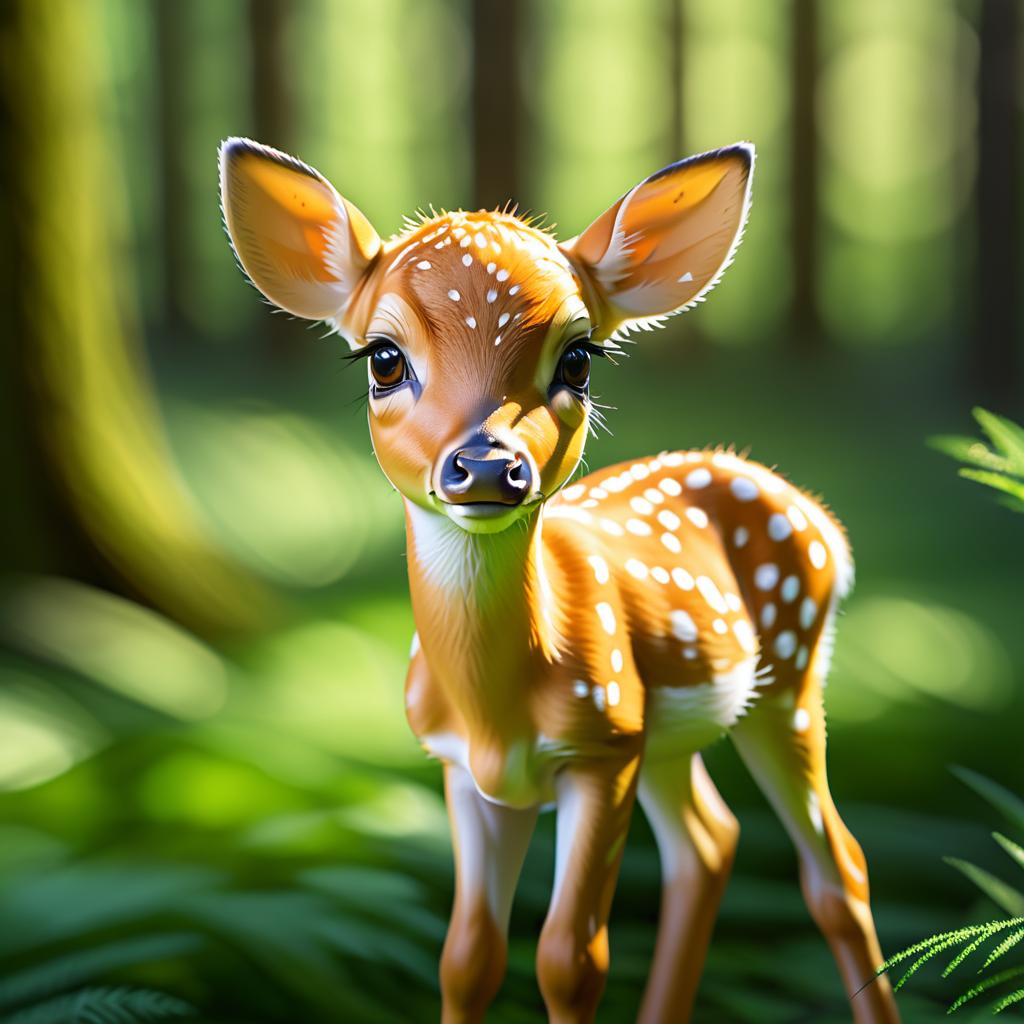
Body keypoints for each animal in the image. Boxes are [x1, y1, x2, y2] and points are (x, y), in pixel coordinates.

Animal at [218, 138, 897, 1024]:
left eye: (578, 358)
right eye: (383, 358)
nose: (484, 465)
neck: (496, 709)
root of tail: (817, 517)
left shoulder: (600, 749)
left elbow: (570, 960)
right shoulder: (464, 769)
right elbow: (468, 956)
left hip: (787, 681)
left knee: (837, 866)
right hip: (669, 734)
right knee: (709, 842)